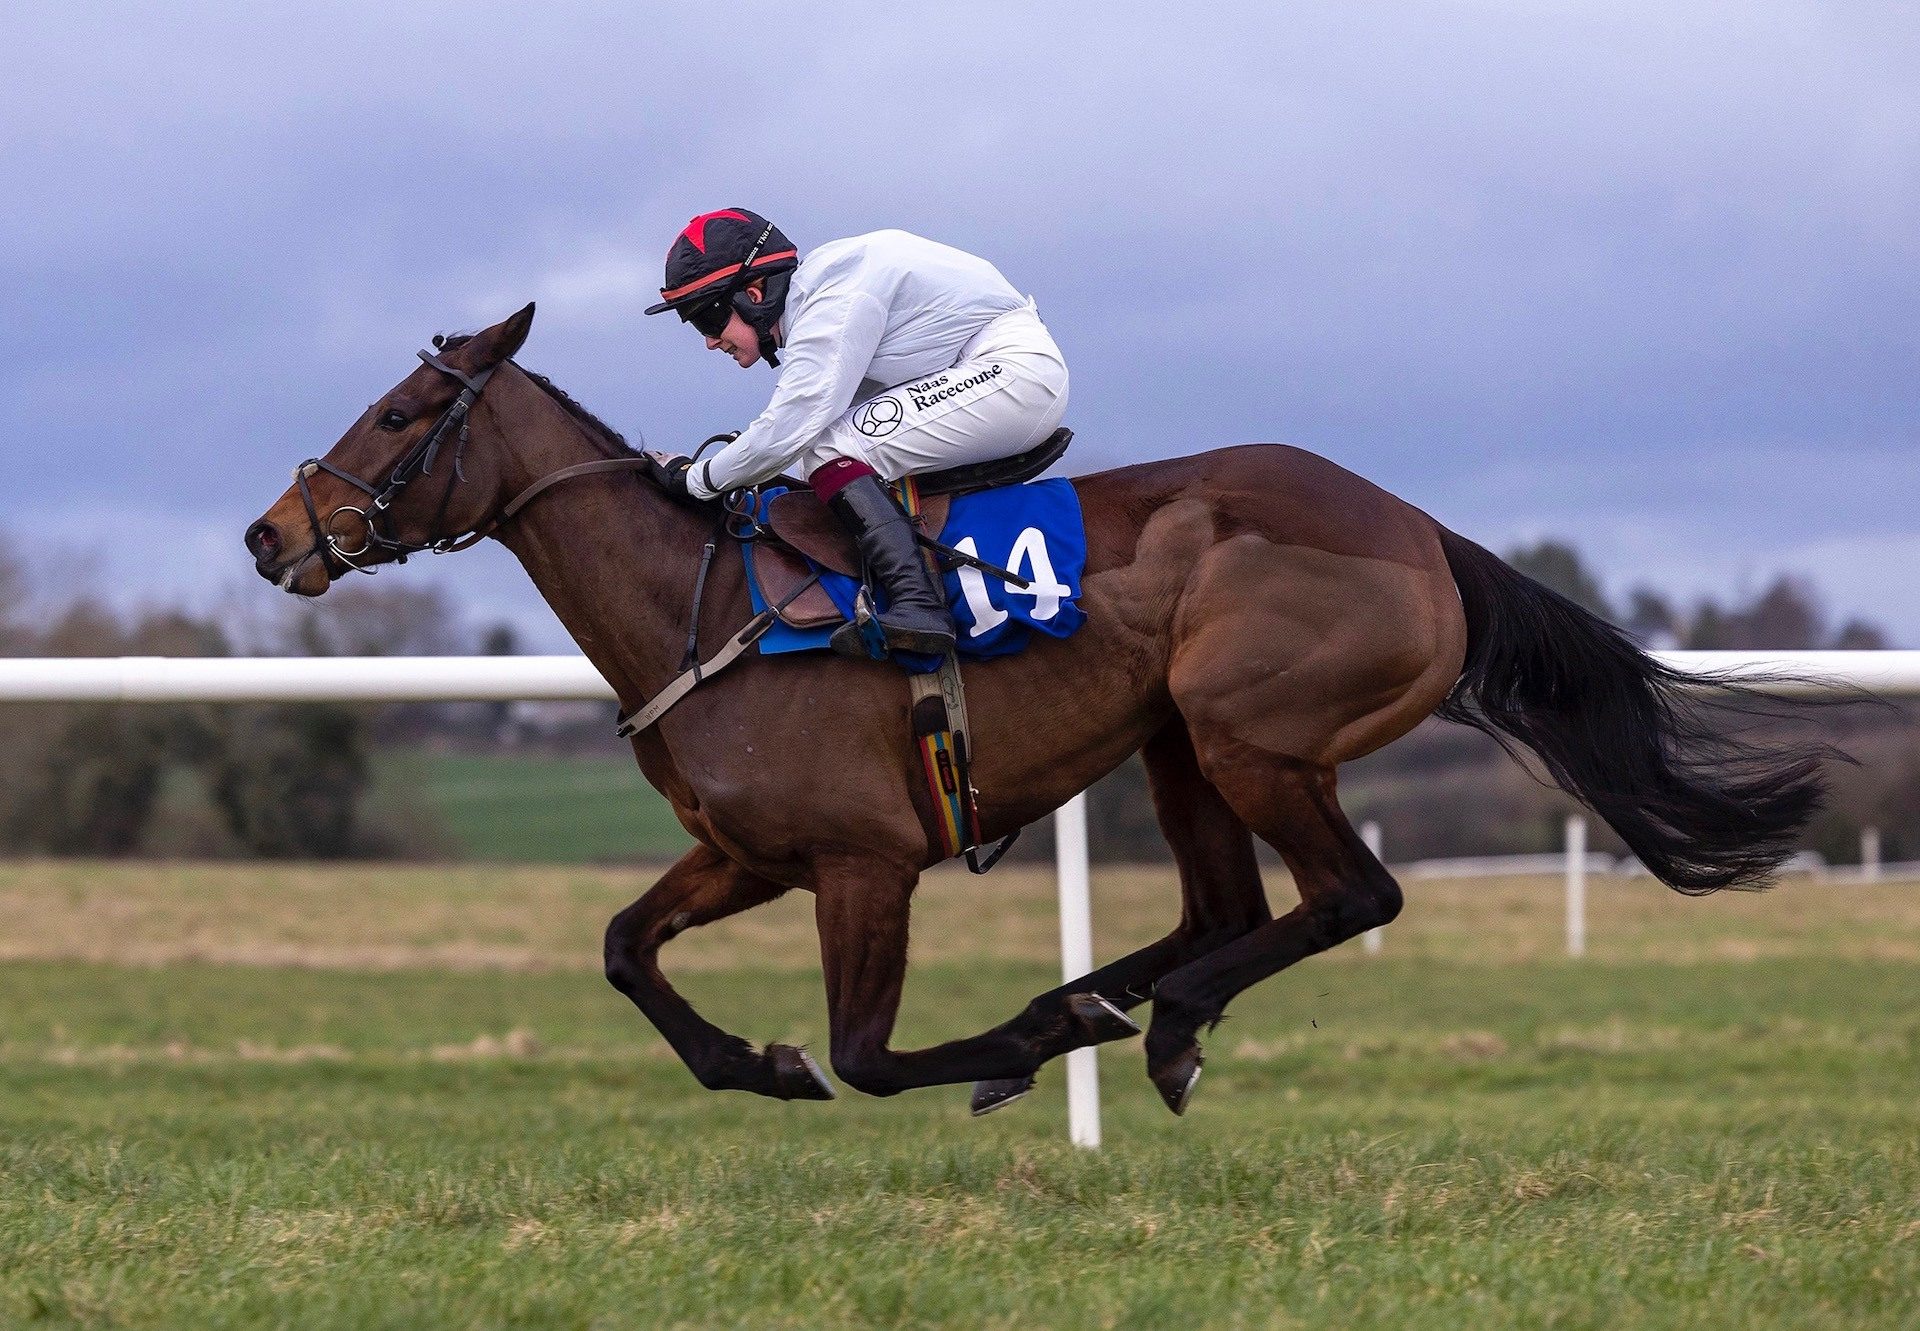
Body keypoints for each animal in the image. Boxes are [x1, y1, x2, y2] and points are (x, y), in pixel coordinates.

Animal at [243, 301, 1827, 1113]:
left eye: (400, 415)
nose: (271, 534)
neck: (702, 602)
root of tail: (1422, 530)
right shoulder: (750, 851)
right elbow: (628, 947)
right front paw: (756, 1059)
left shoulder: (865, 859)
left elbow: (871, 1055)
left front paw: (982, 1052)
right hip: (1179, 743)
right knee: (1225, 910)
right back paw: (1101, 997)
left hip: (1249, 729)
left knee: (1348, 895)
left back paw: (1144, 1020)